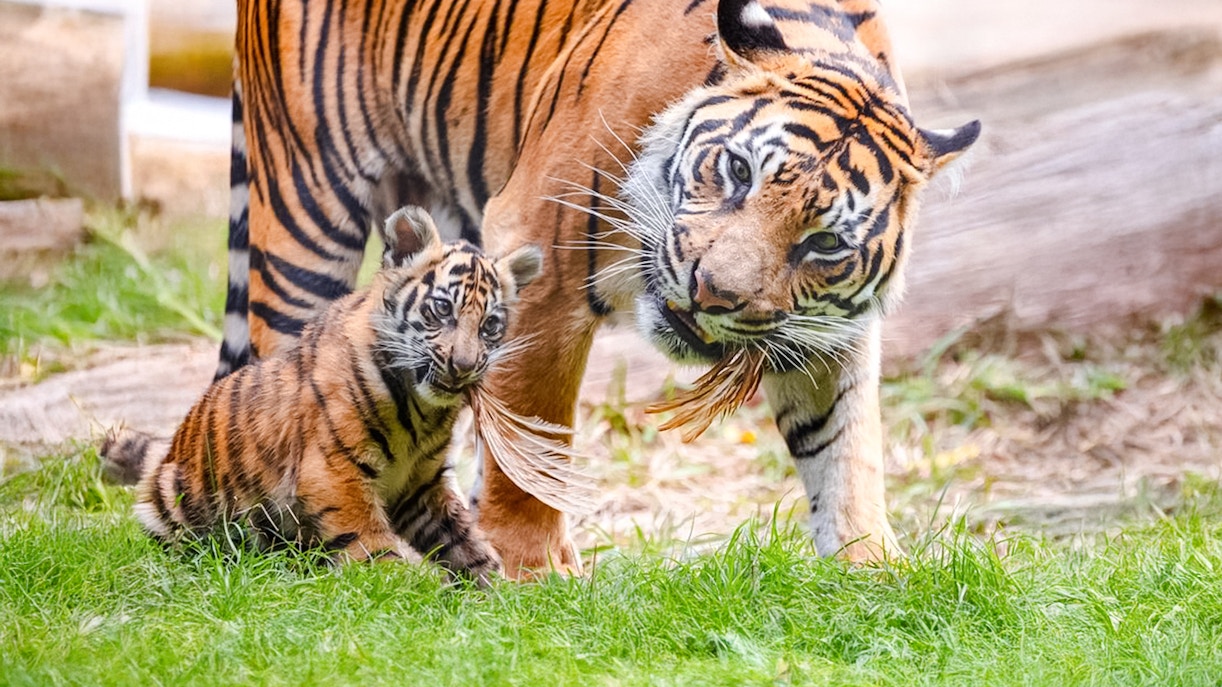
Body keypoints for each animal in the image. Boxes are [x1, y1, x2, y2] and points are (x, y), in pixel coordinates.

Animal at [103, 206, 542, 583]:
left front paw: (496, 592)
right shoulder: (333, 471)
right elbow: (369, 541)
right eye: (442, 309)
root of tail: (168, 449)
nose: (464, 365)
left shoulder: (421, 484)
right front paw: (405, 590)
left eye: (490, 326)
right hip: (178, 502)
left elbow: (462, 538)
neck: (422, 412)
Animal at [218, 0, 980, 574]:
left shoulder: (824, 329)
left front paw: (870, 570)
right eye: (737, 171)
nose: (712, 292)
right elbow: (535, 432)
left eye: (823, 242)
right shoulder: (539, 255)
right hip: (306, 205)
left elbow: (846, 447)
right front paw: (530, 567)